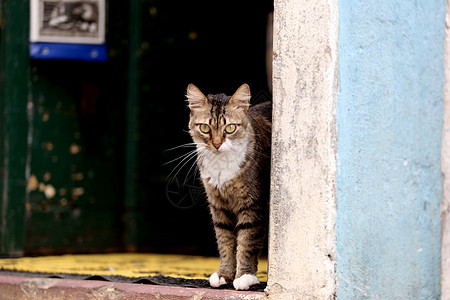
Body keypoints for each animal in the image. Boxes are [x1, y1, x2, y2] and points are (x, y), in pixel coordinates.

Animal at [185, 83, 270, 290]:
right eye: (205, 127)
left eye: (230, 128)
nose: (216, 144)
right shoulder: (218, 206)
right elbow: (225, 242)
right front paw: (225, 274)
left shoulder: (253, 205)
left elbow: (247, 242)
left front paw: (245, 276)